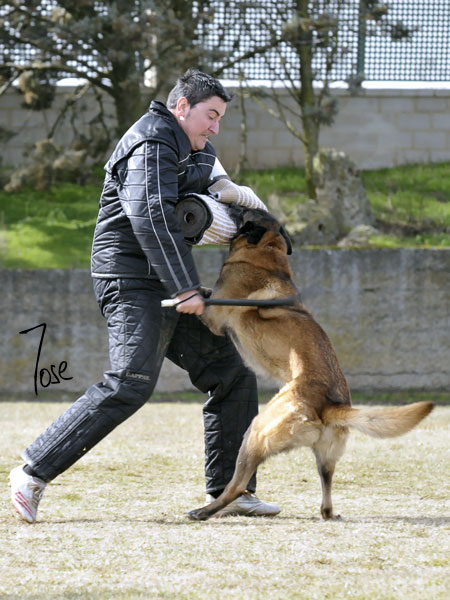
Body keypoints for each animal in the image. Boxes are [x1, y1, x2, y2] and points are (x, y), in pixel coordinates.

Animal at [187, 206, 434, 521]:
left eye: (241, 211)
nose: (225, 203)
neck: (268, 252)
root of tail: (329, 405)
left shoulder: (213, 317)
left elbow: (202, 297)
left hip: (255, 432)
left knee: (236, 484)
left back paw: (204, 511)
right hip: (325, 458)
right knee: (326, 497)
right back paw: (328, 513)